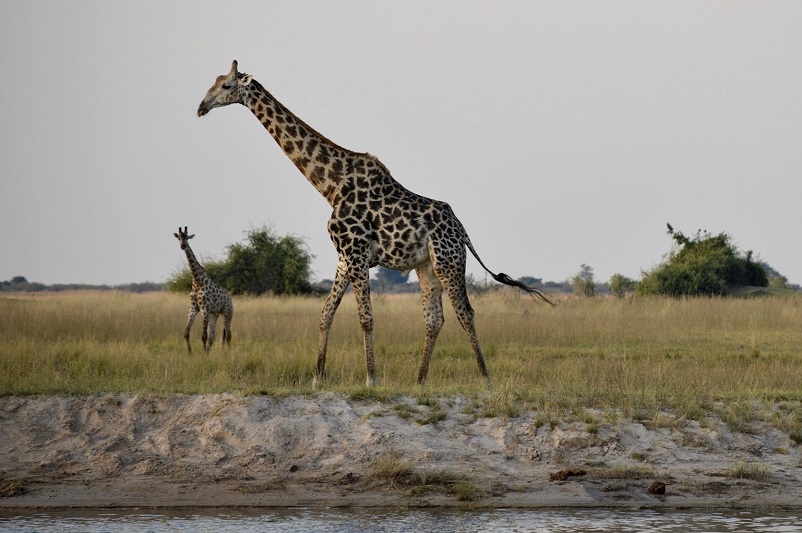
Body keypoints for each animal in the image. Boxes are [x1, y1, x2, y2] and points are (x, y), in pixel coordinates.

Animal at [176, 225, 234, 354]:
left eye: (187, 237)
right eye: (179, 238)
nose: (183, 246)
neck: (197, 281)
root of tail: (229, 297)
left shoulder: (204, 309)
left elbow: (203, 336)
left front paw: (203, 354)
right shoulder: (193, 308)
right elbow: (186, 333)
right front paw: (191, 353)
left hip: (227, 312)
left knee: (228, 334)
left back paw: (229, 352)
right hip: (214, 314)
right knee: (213, 336)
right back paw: (210, 352)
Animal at [198, 61, 552, 386]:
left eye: (226, 85)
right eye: (214, 81)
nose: (201, 107)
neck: (331, 186)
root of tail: (462, 229)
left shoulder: (356, 254)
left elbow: (366, 318)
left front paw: (370, 378)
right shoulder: (344, 257)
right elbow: (325, 314)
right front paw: (317, 378)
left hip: (448, 261)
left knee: (465, 312)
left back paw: (485, 378)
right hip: (426, 267)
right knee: (434, 319)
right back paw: (419, 380)